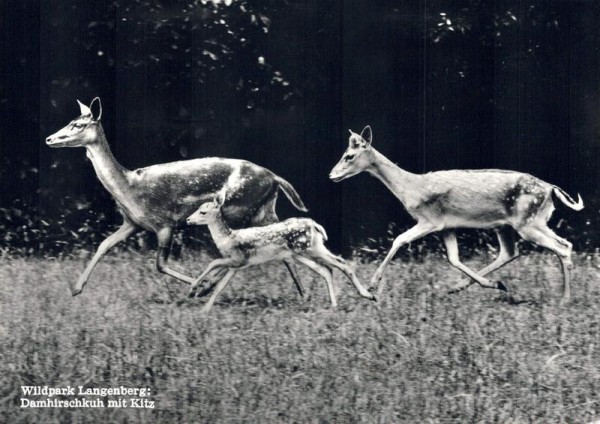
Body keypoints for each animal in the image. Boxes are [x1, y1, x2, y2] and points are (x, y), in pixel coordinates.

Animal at [45, 97, 310, 296]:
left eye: (78, 125)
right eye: (70, 121)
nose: (49, 138)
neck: (129, 188)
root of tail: (275, 177)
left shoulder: (165, 222)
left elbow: (160, 265)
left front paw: (199, 286)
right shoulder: (132, 223)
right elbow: (104, 244)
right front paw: (76, 288)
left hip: (240, 208)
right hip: (264, 210)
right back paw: (303, 294)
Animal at [185, 191, 378, 312]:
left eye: (202, 212)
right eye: (198, 208)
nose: (187, 219)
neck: (227, 238)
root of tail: (315, 225)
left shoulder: (238, 258)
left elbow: (213, 262)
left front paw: (193, 287)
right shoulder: (236, 266)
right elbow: (219, 286)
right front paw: (204, 308)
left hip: (311, 248)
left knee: (341, 263)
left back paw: (369, 295)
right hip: (300, 254)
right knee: (326, 270)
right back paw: (334, 305)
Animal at [330, 124, 584, 304]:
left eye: (349, 155)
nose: (332, 175)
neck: (412, 188)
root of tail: (551, 188)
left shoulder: (430, 219)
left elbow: (399, 239)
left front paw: (372, 286)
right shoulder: (447, 226)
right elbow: (453, 258)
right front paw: (490, 284)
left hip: (528, 222)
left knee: (563, 246)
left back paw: (564, 299)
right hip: (511, 225)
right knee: (511, 252)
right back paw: (474, 286)